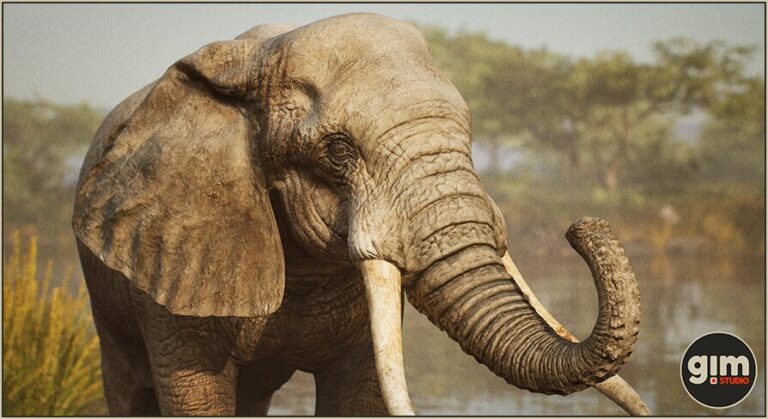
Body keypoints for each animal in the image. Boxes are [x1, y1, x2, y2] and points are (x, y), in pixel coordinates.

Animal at [73, 13, 649, 416]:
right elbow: (197, 392)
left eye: (469, 136)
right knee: (130, 384)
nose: (581, 227)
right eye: (338, 150)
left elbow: (356, 393)